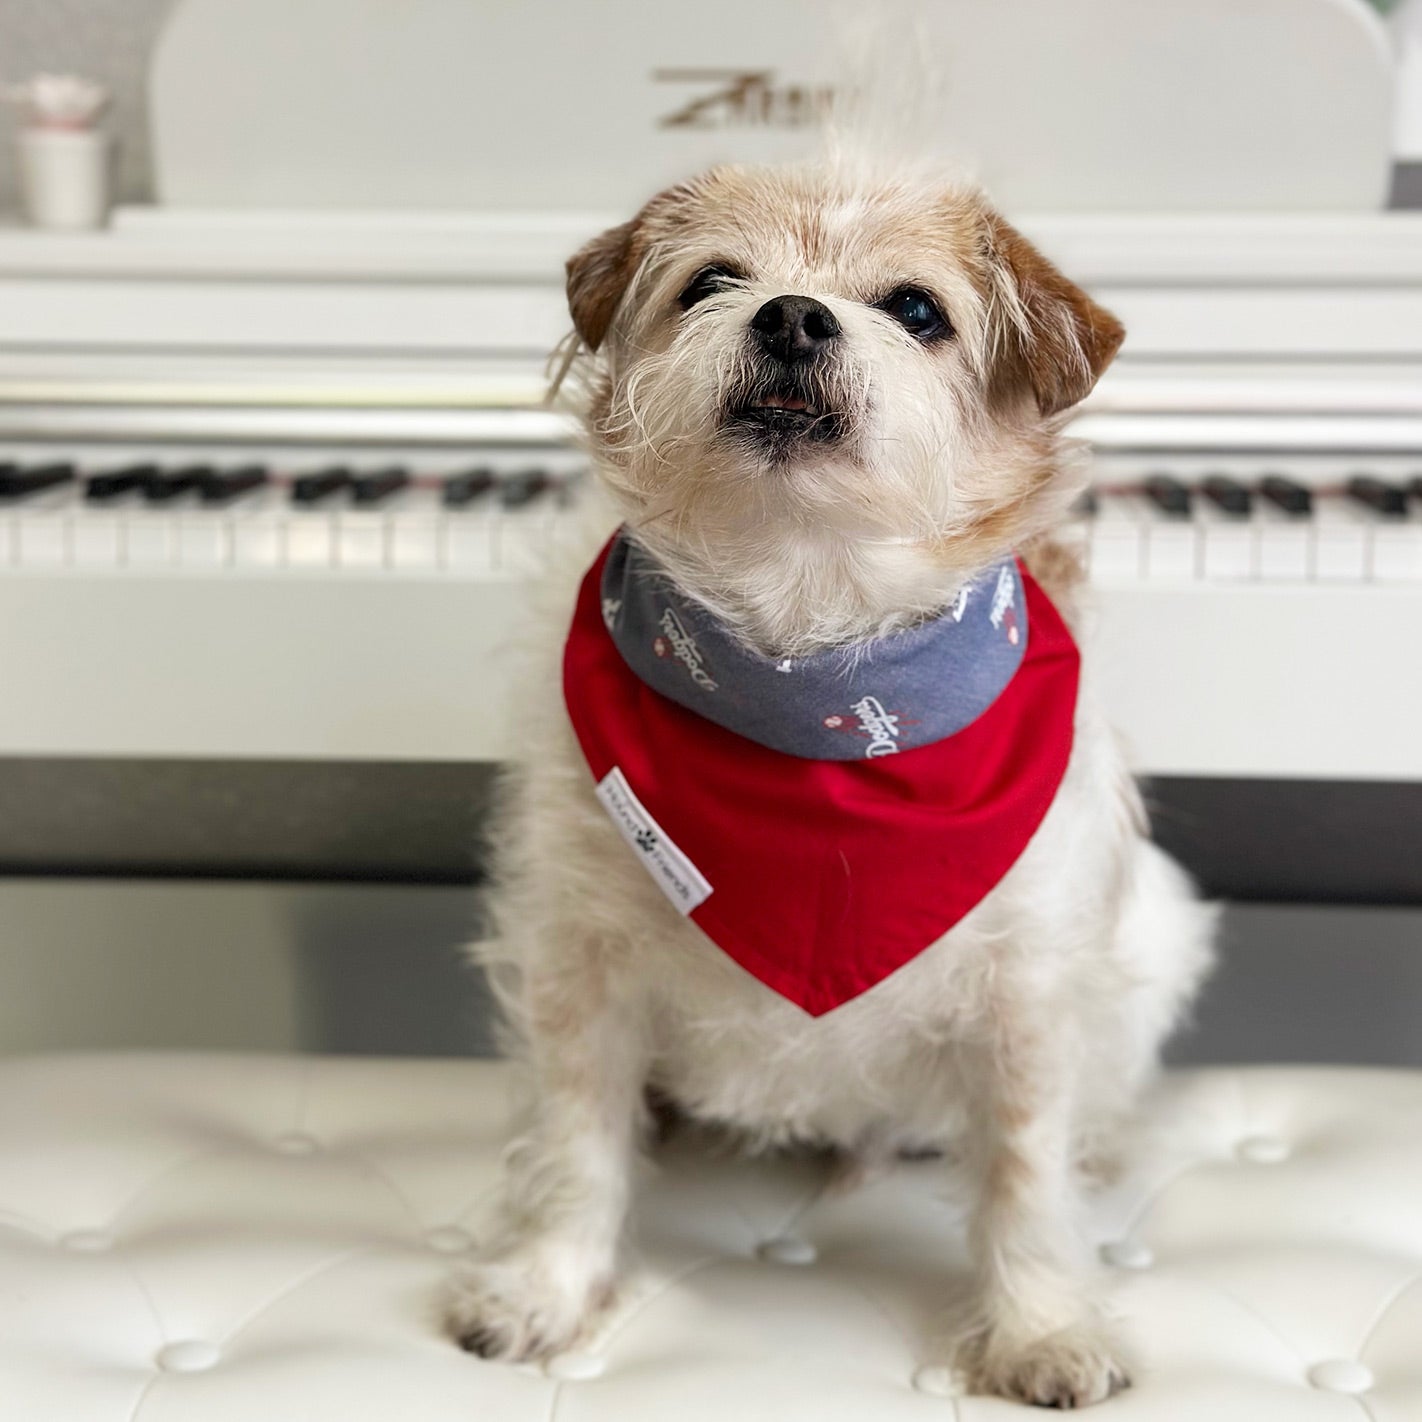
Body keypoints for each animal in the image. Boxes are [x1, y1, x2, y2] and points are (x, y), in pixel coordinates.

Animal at [449, 161, 1217, 1404]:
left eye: (914, 309)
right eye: (712, 281)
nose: (794, 316)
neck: (807, 677)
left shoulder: (1026, 997)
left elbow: (1026, 1175)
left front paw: (1039, 1328)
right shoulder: (578, 959)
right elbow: (573, 1143)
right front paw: (544, 1289)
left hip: (1160, 923)